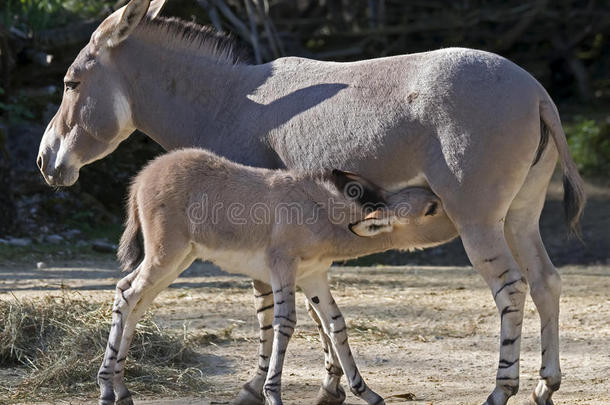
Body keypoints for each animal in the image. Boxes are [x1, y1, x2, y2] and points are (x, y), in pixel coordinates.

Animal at [97, 148, 454, 404]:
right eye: (431, 209)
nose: (459, 224)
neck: (323, 214)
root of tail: (145, 173)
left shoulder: (313, 276)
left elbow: (335, 323)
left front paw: (366, 392)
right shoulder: (283, 267)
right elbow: (286, 322)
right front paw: (272, 393)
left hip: (177, 260)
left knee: (134, 298)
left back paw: (122, 390)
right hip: (165, 255)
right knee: (127, 295)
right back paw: (106, 388)